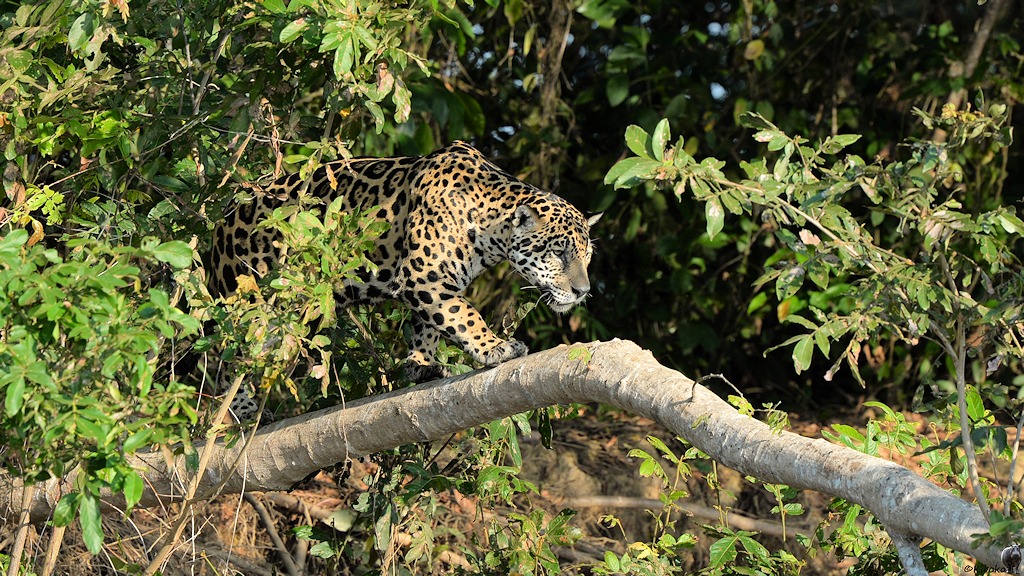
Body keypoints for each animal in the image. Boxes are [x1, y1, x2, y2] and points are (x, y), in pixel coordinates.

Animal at [208, 141, 600, 420]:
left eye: (587, 257)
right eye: (559, 252)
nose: (583, 291)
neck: (488, 223)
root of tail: (224, 215)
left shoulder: (437, 282)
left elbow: (431, 323)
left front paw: (420, 364)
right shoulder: (422, 275)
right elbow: (464, 315)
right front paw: (494, 347)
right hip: (252, 299)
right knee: (225, 358)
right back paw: (241, 410)